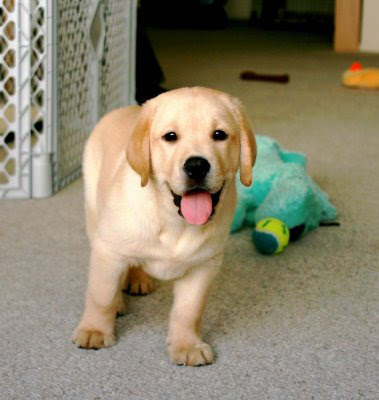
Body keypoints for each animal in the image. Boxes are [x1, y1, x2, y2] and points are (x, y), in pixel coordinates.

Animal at [72, 86, 255, 366]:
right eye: (170, 137)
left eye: (219, 135)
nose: (196, 165)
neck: (175, 222)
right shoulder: (108, 249)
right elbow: (101, 293)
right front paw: (95, 330)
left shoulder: (203, 265)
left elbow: (189, 310)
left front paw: (187, 345)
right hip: (94, 215)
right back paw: (119, 302)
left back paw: (139, 279)